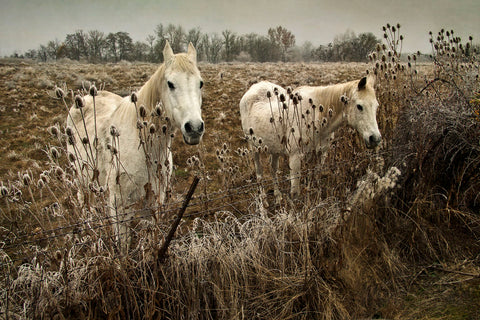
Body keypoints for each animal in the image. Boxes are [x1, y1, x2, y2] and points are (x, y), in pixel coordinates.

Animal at [66, 40, 203, 250]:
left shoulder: (155, 198)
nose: (194, 128)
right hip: (81, 177)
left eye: (200, 83)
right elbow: (123, 244)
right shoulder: (118, 204)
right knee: (84, 202)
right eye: (170, 84)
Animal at [240, 76, 382, 201]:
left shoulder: (319, 154)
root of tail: (254, 87)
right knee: (259, 173)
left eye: (376, 106)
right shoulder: (295, 157)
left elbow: (314, 179)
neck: (316, 119)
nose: (375, 138)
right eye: (359, 106)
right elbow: (295, 191)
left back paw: (278, 196)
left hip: (274, 149)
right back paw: (263, 199)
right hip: (254, 148)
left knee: (273, 169)